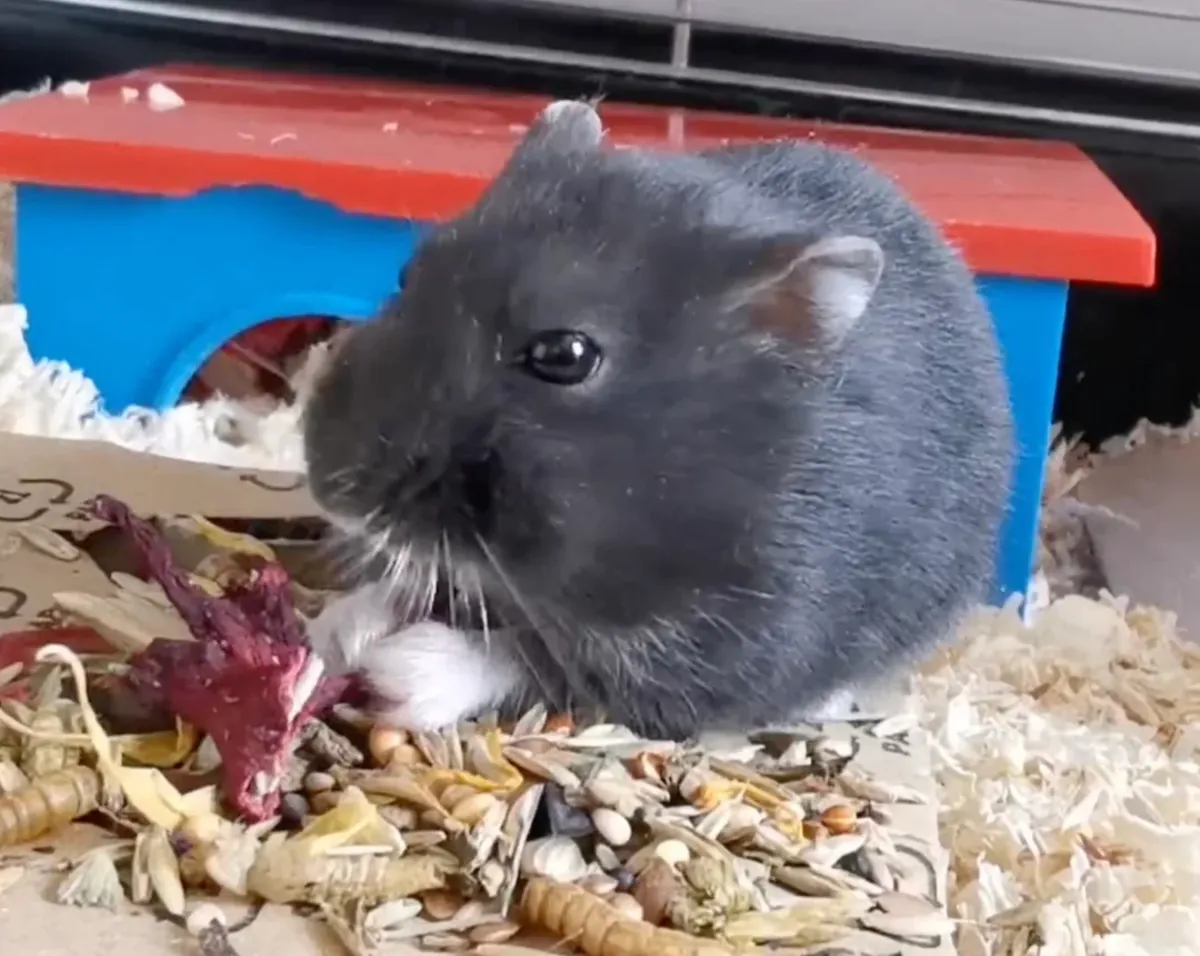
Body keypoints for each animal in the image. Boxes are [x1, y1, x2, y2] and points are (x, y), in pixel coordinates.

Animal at [302, 100, 1014, 739]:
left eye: (565, 355)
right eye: (407, 273)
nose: (328, 487)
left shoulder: (707, 657)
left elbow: (533, 661)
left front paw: (398, 676)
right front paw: (333, 631)